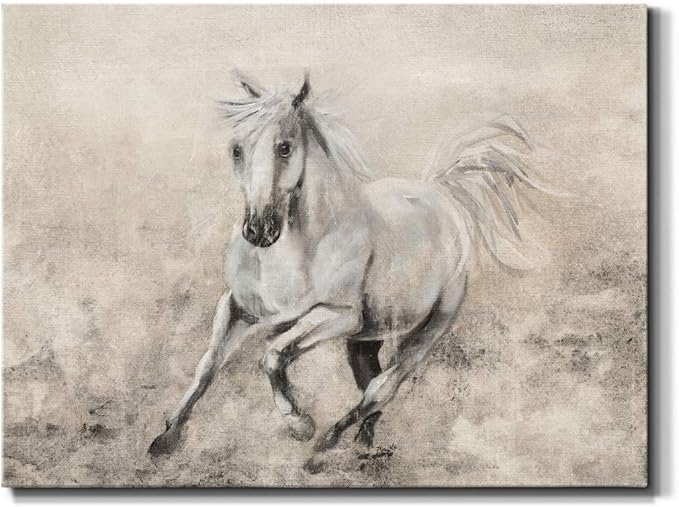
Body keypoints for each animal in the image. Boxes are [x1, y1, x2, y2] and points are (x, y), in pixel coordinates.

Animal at [148, 70, 555, 465]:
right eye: (237, 149)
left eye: (285, 147)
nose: (259, 231)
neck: (294, 252)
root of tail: (442, 195)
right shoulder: (237, 307)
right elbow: (208, 365)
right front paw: (166, 438)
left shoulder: (337, 316)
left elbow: (273, 355)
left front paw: (300, 425)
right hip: (365, 338)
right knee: (370, 382)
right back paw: (363, 444)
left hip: (431, 325)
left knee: (382, 388)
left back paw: (324, 446)